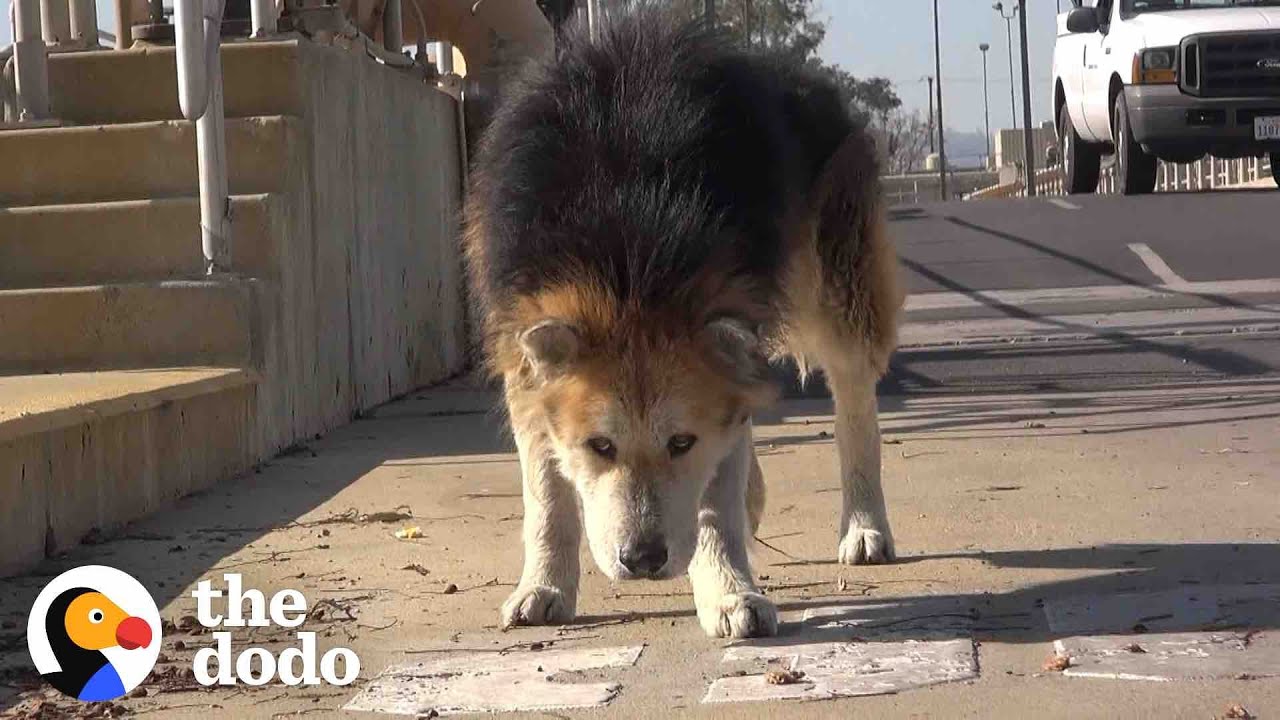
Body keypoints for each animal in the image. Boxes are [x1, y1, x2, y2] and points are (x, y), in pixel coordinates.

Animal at [463, 5, 901, 632]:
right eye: (600, 446)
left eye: (681, 442)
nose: (643, 560)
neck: (628, 257)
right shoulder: (519, 349)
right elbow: (547, 497)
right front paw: (543, 585)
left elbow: (715, 499)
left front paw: (729, 592)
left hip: (840, 284)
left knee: (853, 401)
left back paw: (864, 525)